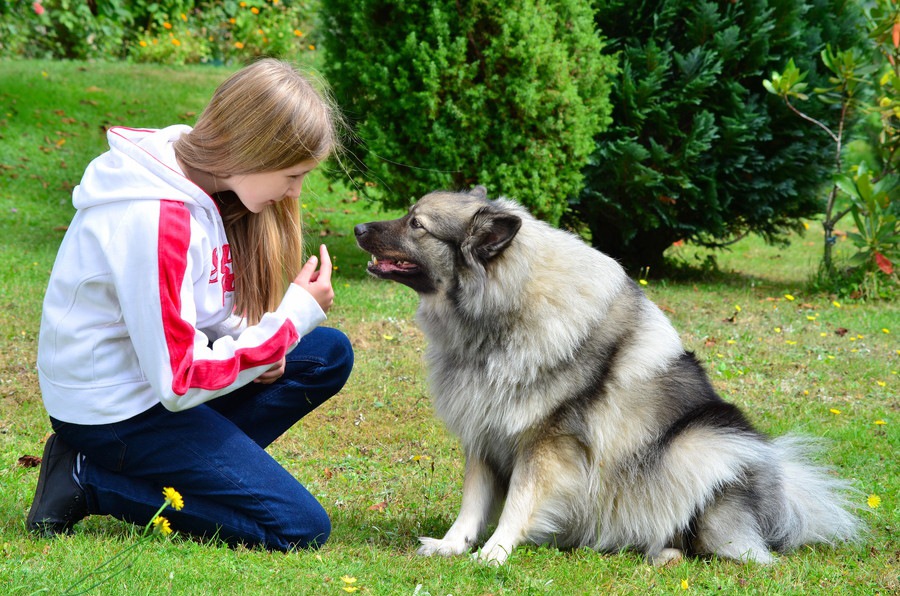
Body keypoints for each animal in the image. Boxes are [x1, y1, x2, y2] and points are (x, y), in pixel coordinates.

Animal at [352, 185, 856, 564]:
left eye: (416, 224)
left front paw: (495, 552)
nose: (358, 228)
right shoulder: (484, 431)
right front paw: (452, 546)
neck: (498, 315)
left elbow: (518, 502)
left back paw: (664, 551)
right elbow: (472, 503)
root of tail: (777, 500)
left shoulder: (545, 443)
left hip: (699, 442)